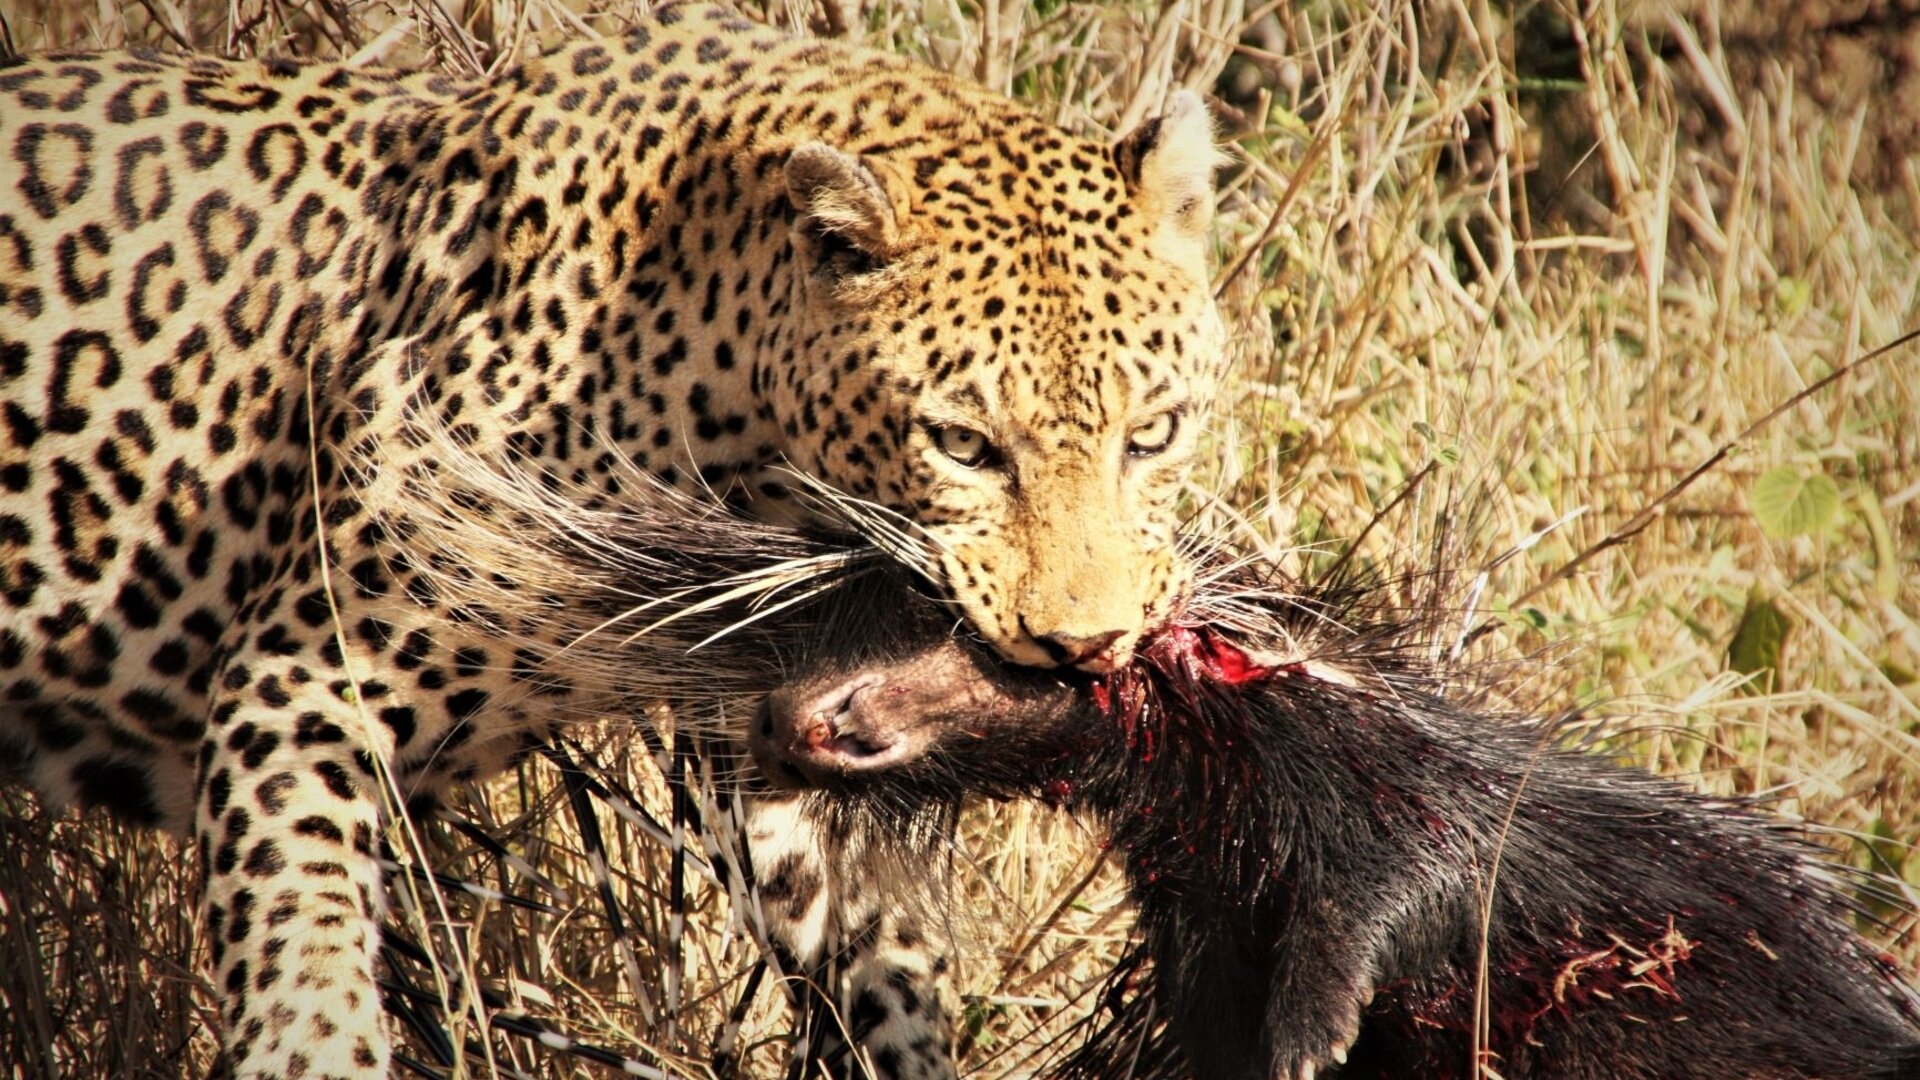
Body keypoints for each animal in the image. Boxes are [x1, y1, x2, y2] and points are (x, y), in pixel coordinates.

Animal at [0, 2, 1226, 1077]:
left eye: (1154, 434)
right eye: (964, 445)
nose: (1086, 649)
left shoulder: (763, 744)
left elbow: (878, 959)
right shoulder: (297, 684)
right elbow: (302, 959)